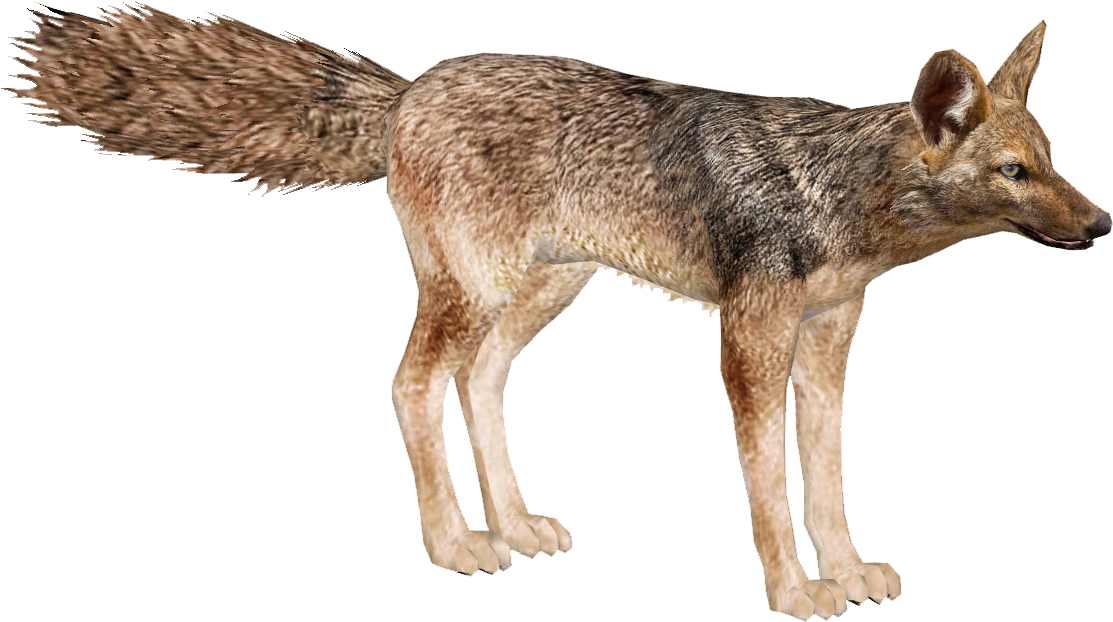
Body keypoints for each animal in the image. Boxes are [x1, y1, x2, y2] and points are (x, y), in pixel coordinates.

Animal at [10, 6, 1108, 619]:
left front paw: (842, 568)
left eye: (1053, 158)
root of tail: (411, 89)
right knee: (412, 386)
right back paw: (455, 542)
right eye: (1014, 173)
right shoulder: (745, 340)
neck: (836, 191)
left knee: (480, 385)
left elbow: (826, 475)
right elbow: (767, 484)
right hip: (475, 294)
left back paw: (513, 523)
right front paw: (794, 590)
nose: (1102, 226)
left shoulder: (830, 339)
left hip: (539, 297)